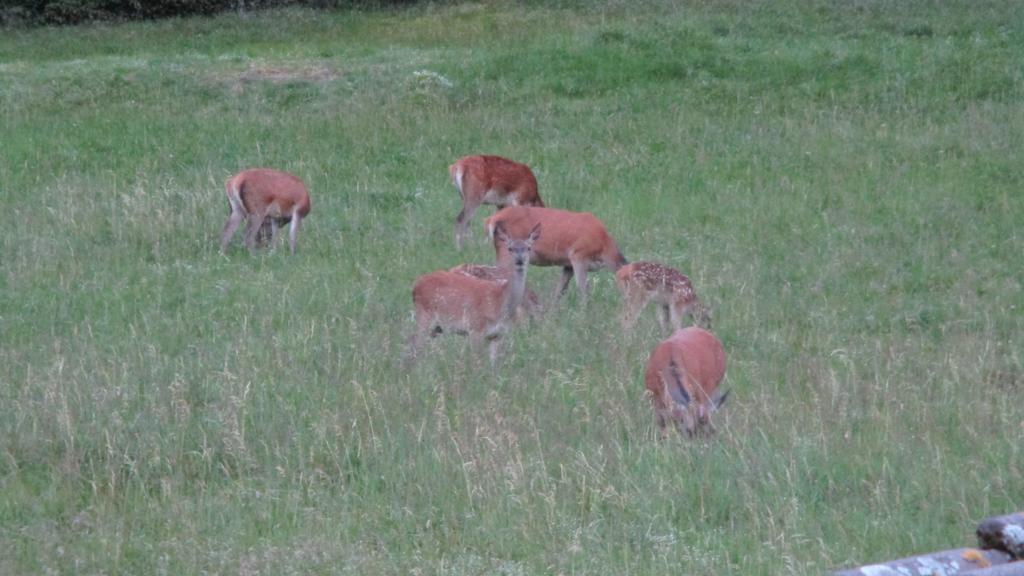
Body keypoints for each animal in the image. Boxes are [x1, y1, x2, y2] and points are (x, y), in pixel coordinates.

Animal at [405, 223, 544, 362]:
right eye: (510, 248)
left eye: (529, 248)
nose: (520, 260)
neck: (500, 302)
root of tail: (415, 285)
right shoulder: (475, 328)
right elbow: (477, 361)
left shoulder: (498, 335)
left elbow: (494, 363)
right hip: (424, 315)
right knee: (414, 341)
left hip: (437, 327)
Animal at [483, 204, 626, 303]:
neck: (604, 248)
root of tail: (492, 218)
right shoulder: (577, 255)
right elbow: (584, 290)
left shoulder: (568, 265)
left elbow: (560, 291)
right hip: (507, 252)